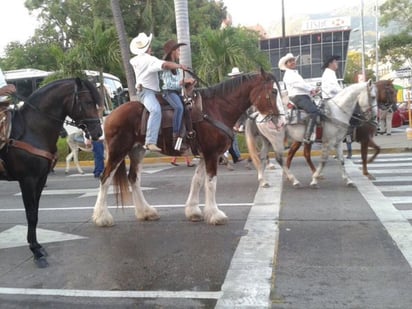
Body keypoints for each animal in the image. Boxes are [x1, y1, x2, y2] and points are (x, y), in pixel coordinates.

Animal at [0, 77, 103, 268]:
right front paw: (36, 251)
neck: (32, 130)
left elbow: (35, 213)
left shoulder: (40, 179)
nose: (98, 133)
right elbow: (31, 214)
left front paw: (38, 246)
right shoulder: (27, 180)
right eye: (87, 102)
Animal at [92, 68, 278, 225]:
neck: (216, 109)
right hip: (118, 151)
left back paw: (145, 212)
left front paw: (194, 211)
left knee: (133, 178)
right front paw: (215, 214)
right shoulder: (212, 154)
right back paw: (102, 217)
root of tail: (110, 116)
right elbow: (211, 183)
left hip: (137, 150)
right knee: (105, 179)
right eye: (274, 91)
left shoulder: (206, 155)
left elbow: (197, 181)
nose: (277, 118)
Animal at [246, 79, 378, 186]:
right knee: (279, 159)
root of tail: (258, 114)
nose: (375, 117)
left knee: (262, 157)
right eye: (373, 97)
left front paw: (348, 180)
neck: (336, 112)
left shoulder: (338, 142)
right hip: (277, 140)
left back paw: (263, 181)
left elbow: (341, 160)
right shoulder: (328, 142)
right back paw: (294, 180)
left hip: (267, 141)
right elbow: (323, 160)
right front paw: (315, 179)